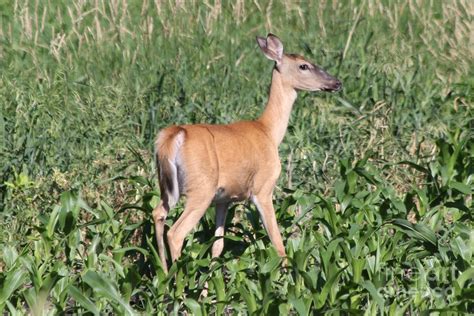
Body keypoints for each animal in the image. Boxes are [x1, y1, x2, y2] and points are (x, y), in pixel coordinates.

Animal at [152, 33, 340, 272]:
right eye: (304, 65)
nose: (336, 82)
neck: (268, 131)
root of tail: (174, 135)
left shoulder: (224, 199)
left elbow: (218, 245)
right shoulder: (263, 187)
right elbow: (277, 242)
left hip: (168, 186)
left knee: (158, 213)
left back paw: (164, 274)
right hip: (200, 188)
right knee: (176, 232)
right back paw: (180, 279)